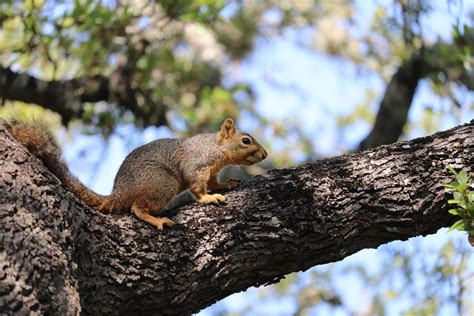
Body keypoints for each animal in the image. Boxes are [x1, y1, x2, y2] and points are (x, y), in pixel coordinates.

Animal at [10, 117, 266, 231]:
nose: (264, 154)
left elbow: (214, 182)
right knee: (136, 207)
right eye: (246, 140)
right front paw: (207, 198)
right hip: (163, 182)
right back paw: (155, 219)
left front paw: (226, 185)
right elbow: (197, 186)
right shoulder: (197, 163)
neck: (217, 148)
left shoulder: (211, 171)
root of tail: (119, 193)